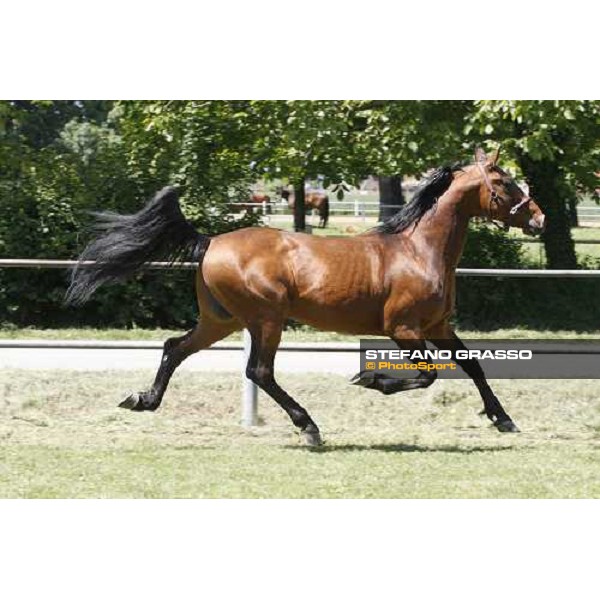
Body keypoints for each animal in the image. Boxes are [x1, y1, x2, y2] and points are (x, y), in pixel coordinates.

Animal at [65, 145, 544, 446]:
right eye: (503, 180)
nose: (539, 219)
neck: (417, 250)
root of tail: (210, 241)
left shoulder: (439, 326)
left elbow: (474, 366)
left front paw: (504, 419)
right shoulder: (403, 329)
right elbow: (427, 375)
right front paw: (370, 379)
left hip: (220, 320)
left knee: (175, 348)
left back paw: (142, 400)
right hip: (266, 320)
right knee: (259, 371)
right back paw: (309, 428)